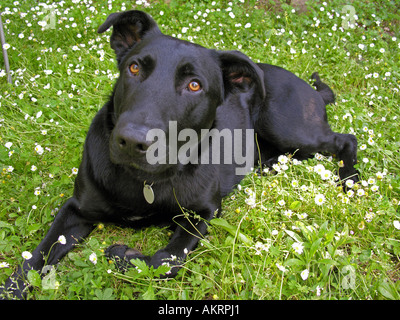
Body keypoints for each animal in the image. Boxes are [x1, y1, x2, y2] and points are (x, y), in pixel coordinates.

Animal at [0, 10, 356, 300]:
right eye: (133, 68)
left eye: (195, 85)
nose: (132, 141)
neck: (144, 180)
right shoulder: (75, 209)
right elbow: (36, 258)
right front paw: (13, 288)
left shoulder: (202, 213)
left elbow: (166, 259)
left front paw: (123, 255)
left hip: (287, 125)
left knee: (345, 140)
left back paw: (350, 181)